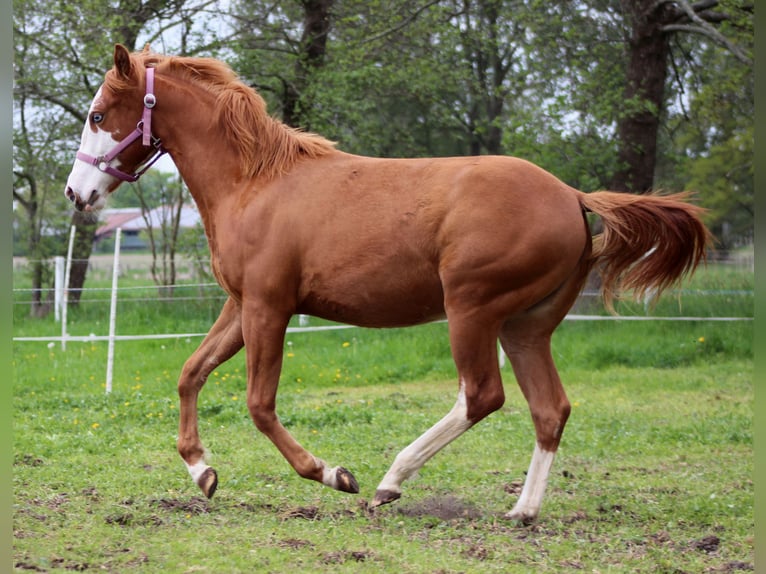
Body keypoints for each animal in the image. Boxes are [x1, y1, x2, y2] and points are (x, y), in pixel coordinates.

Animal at [64, 44, 710, 523]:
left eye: (98, 115)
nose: (77, 193)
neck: (255, 182)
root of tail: (573, 197)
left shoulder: (270, 307)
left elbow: (259, 404)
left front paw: (332, 474)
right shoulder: (240, 305)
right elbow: (190, 373)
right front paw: (202, 471)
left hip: (473, 310)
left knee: (483, 395)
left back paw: (390, 481)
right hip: (526, 326)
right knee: (549, 409)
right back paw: (522, 511)